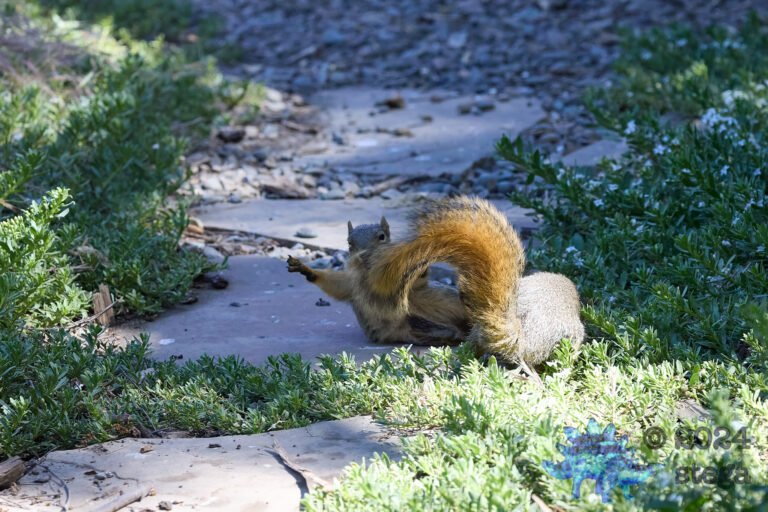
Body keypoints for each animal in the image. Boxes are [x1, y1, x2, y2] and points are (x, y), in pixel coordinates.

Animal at [287, 196, 584, 366]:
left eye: (382, 237)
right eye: (349, 243)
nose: (363, 256)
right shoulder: (350, 284)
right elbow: (334, 286)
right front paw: (305, 268)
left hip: (438, 302)